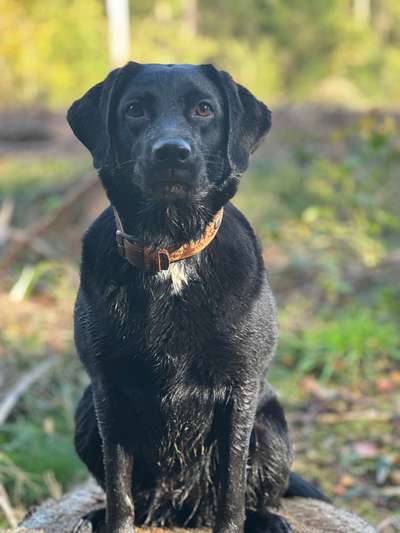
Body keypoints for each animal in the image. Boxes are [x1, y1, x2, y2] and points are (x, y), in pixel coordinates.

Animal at [69, 63, 324, 532]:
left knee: (256, 496)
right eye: (134, 110)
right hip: (84, 416)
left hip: (272, 430)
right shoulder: (108, 393)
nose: (172, 153)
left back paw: (270, 520)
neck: (170, 253)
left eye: (204, 109)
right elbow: (118, 491)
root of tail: (180, 508)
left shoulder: (239, 393)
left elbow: (232, 491)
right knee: (135, 496)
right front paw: (111, 518)